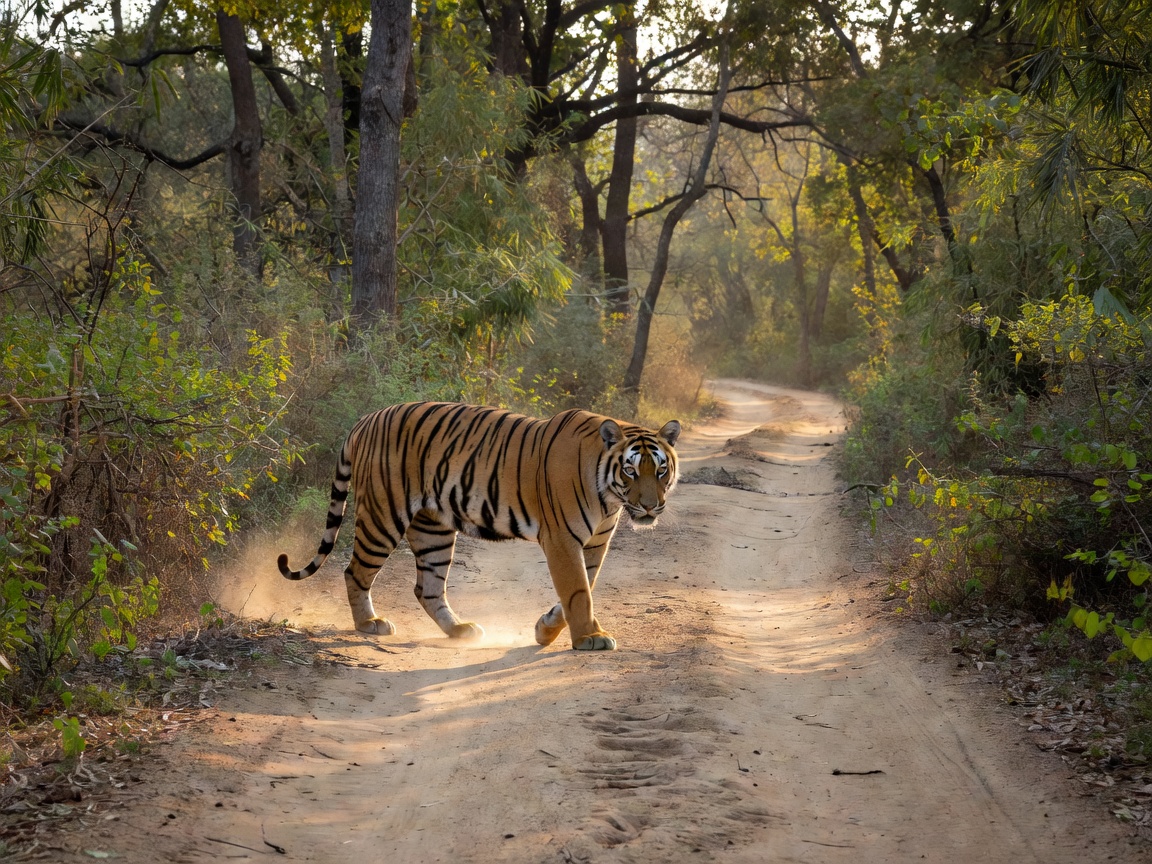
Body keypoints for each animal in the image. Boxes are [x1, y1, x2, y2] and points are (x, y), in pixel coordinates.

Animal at [277, 402, 681, 651]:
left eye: (661, 470)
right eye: (631, 471)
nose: (650, 506)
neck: (609, 496)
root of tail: (366, 419)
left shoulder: (596, 542)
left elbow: (584, 587)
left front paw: (546, 629)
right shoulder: (562, 540)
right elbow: (578, 591)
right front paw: (589, 638)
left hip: (434, 528)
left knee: (427, 587)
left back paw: (459, 630)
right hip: (382, 515)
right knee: (355, 571)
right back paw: (369, 623)